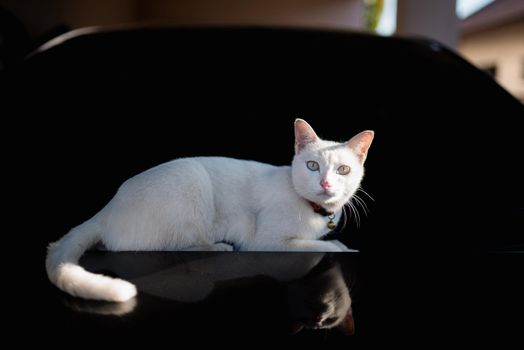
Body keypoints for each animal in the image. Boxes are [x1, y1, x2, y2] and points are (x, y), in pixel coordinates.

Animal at [45, 119, 372, 302]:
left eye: (343, 170)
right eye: (312, 166)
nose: (325, 183)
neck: (318, 213)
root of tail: (107, 210)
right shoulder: (269, 242)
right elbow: (328, 245)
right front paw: (345, 247)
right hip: (191, 185)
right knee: (171, 247)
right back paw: (220, 246)